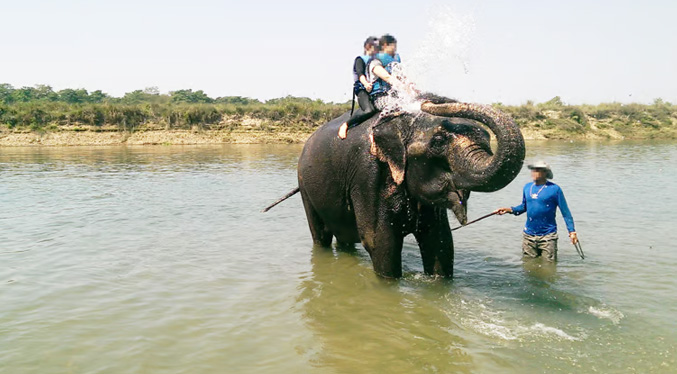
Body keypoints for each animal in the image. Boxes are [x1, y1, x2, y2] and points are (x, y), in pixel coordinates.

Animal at [290, 95, 524, 280]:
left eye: (487, 137)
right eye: (438, 141)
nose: (429, 101)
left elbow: (440, 240)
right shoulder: (367, 174)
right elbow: (380, 241)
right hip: (304, 185)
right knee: (320, 235)